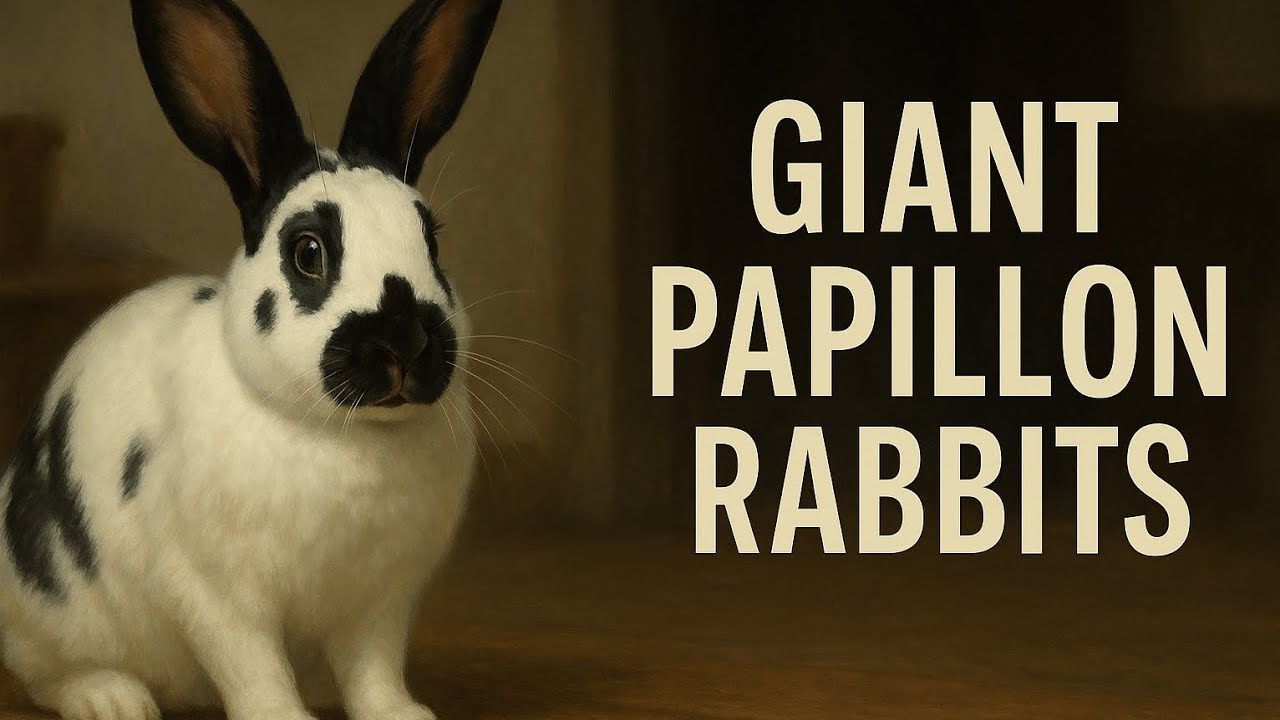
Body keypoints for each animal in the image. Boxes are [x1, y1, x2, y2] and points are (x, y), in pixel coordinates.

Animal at [0, 0, 502, 719]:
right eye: (308, 252)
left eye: (431, 240)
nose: (405, 344)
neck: (341, 437)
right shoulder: (217, 593)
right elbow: (252, 665)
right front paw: (282, 715)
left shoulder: (378, 602)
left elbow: (372, 669)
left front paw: (402, 713)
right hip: (48, 610)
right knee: (46, 673)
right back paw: (111, 698)